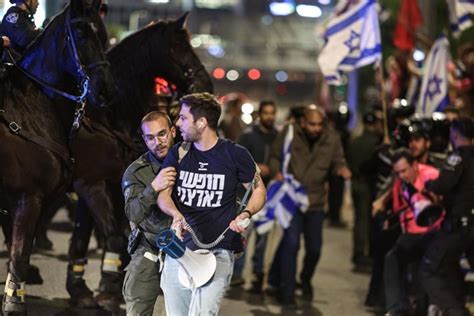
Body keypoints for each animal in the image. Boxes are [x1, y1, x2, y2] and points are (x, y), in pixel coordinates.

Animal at [0, 0, 114, 312]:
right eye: (81, 32)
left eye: (104, 35)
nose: (105, 91)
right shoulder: (28, 198)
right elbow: (19, 255)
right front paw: (14, 305)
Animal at [64, 13, 212, 308]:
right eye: (178, 47)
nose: (206, 84)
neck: (106, 116)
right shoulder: (91, 184)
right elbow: (113, 233)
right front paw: (105, 289)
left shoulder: (105, 184)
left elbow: (92, 232)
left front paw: (86, 286)